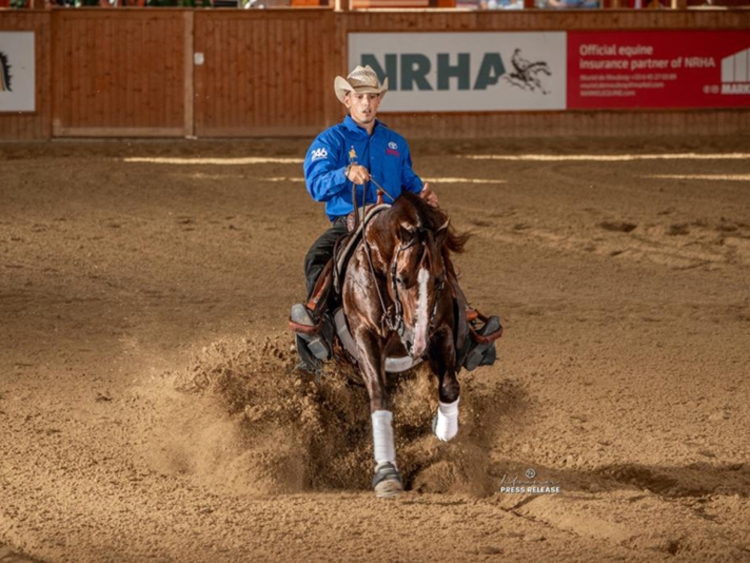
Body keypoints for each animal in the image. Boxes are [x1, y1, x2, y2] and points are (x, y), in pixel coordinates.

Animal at [344, 192, 472, 500]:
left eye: (439, 280)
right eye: (401, 279)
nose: (418, 342)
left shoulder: (441, 330)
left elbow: (449, 386)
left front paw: (443, 429)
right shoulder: (365, 334)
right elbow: (379, 396)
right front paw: (387, 473)